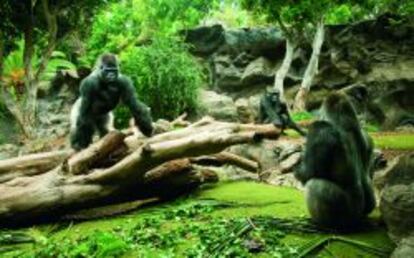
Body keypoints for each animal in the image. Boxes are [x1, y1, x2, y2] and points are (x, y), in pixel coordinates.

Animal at [294, 92, 376, 228]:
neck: (345, 123)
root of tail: (357, 221)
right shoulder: (368, 136)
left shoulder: (320, 129)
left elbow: (307, 174)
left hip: (346, 218)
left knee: (314, 184)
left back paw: (322, 225)